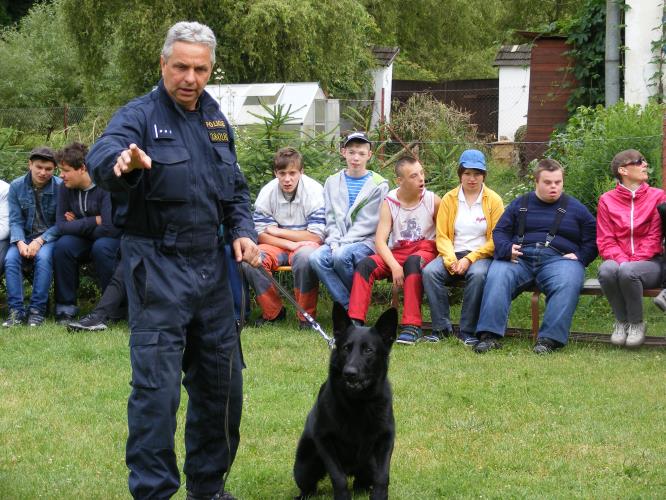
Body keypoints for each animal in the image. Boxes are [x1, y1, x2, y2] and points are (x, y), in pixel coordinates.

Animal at [294, 300, 396, 500]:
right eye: (346, 348)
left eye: (368, 350)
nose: (349, 373)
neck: (358, 403)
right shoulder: (323, 440)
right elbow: (338, 477)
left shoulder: (386, 438)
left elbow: (382, 476)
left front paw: (379, 496)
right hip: (303, 468)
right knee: (308, 487)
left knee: (362, 482)